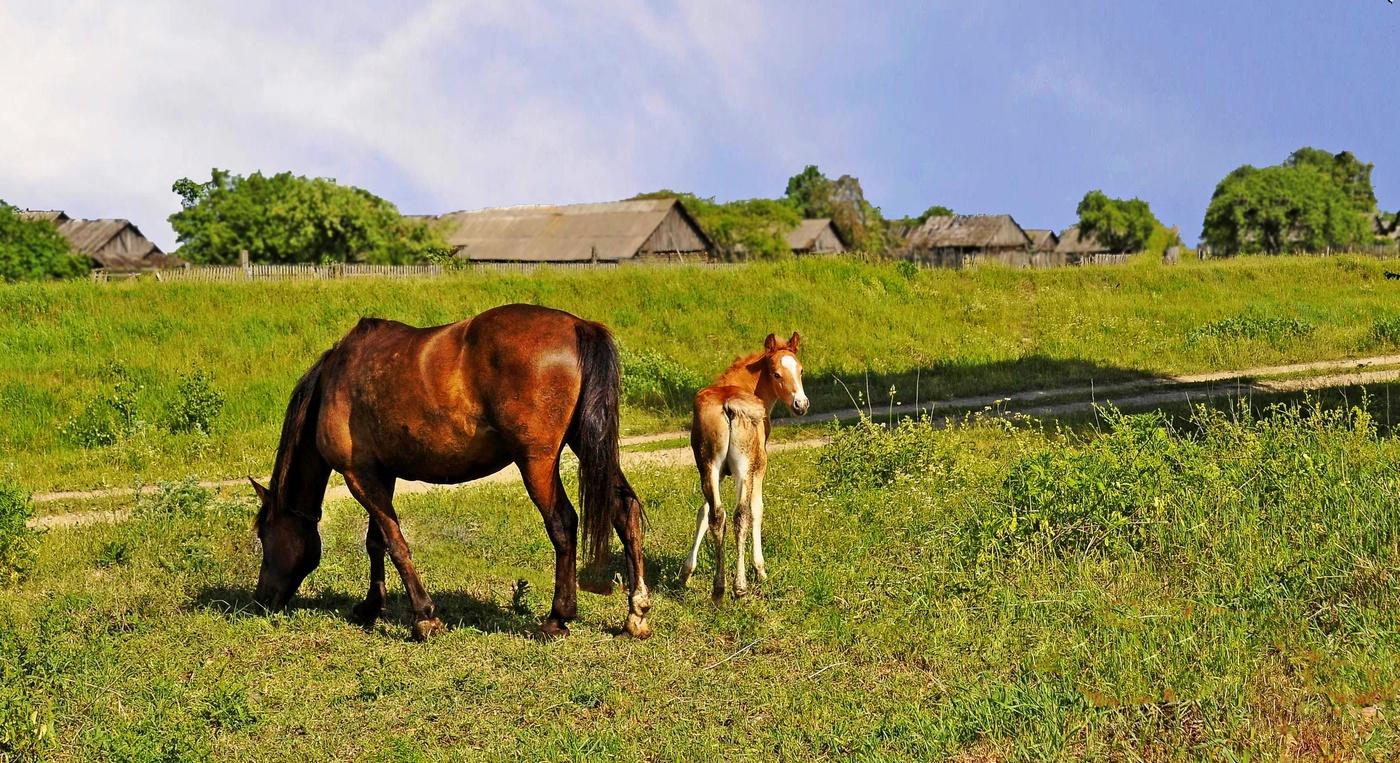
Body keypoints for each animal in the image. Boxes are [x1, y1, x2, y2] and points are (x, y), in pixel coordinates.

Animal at [250, 302, 649, 635]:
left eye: (263, 534)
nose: (260, 601)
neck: (336, 380)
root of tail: (579, 326)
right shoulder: (379, 474)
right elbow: (376, 542)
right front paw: (370, 606)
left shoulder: (357, 476)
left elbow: (395, 544)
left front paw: (423, 617)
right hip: (589, 447)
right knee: (624, 510)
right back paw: (636, 614)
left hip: (537, 463)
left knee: (563, 524)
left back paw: (557, 617)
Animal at [677, 330, 812, 599]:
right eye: (776, 374)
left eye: (801, 370)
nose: (801, 405)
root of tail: (728, 407)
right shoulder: (760, 466)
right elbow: (757, 509)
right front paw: (760, 570)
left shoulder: (716, 473)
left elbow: (703, 512)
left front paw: (687, 572)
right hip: (744, 468)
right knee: (741, 515)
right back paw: (739, 585)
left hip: (708, 466)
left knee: (717, 514)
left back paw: (719, 586)